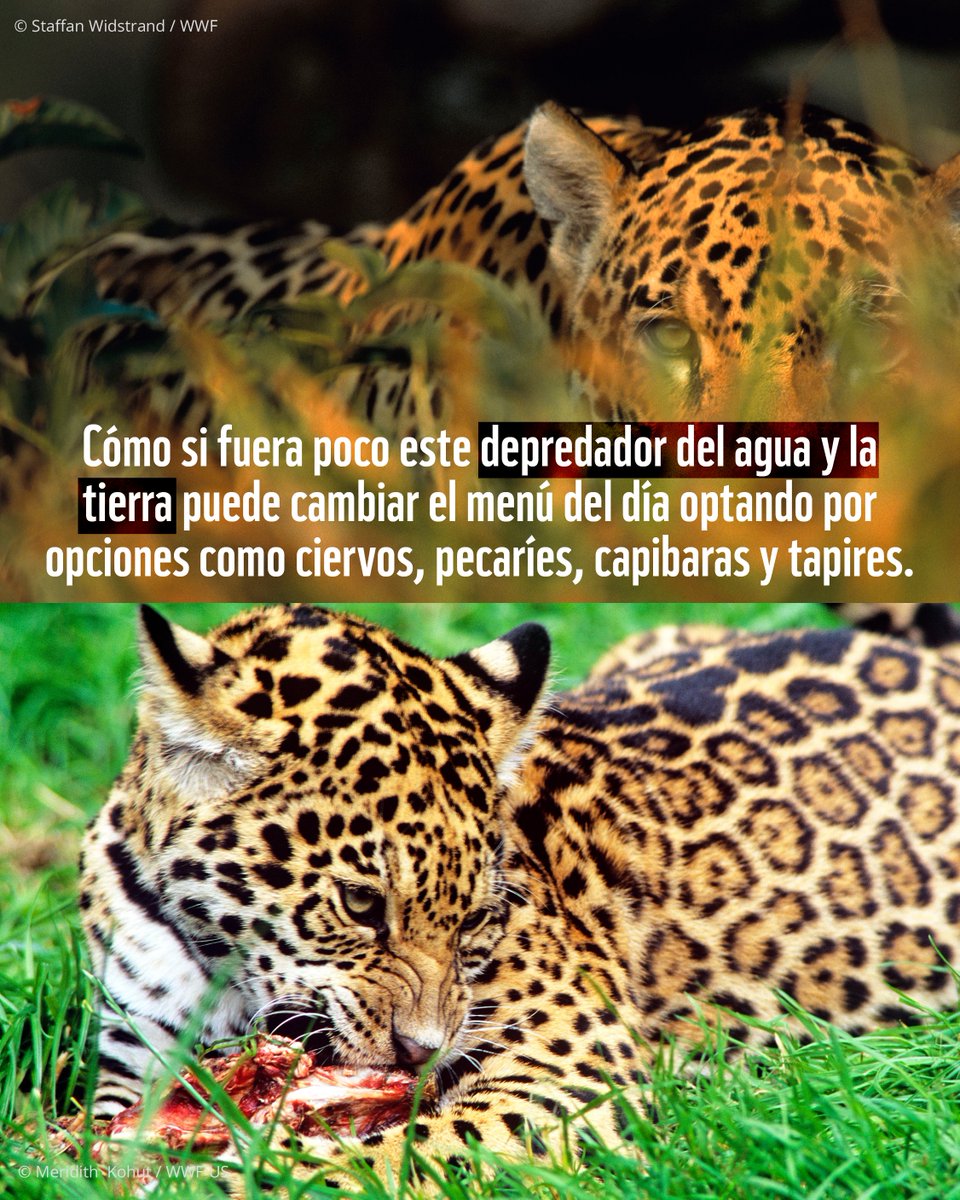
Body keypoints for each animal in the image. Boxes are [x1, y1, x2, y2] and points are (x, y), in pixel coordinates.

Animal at [79, 602, 960, 1183]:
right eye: (360, 905)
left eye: (476, 916)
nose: (421, 1053)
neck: (225, 970)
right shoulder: (130, 1055)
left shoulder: (567, 1068)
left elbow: (403, 1150)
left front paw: (241, 1176)